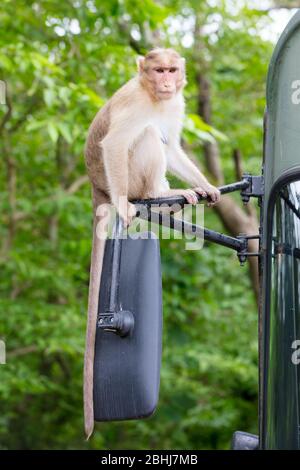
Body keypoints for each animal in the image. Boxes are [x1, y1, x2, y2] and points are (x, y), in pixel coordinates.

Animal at [83, 47, 221, 436]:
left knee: (157, 138)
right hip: (127, 178)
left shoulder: (175, 104)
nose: (167, 83)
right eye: (158, 70)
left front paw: (206, 185)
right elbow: (116, 142)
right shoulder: (133, 103)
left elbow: (172, 146)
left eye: (172, 70)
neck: (153, 96)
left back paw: (172, 197)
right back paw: (155, 195)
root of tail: (97, 187)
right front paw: (123, 206)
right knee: (144, 135)